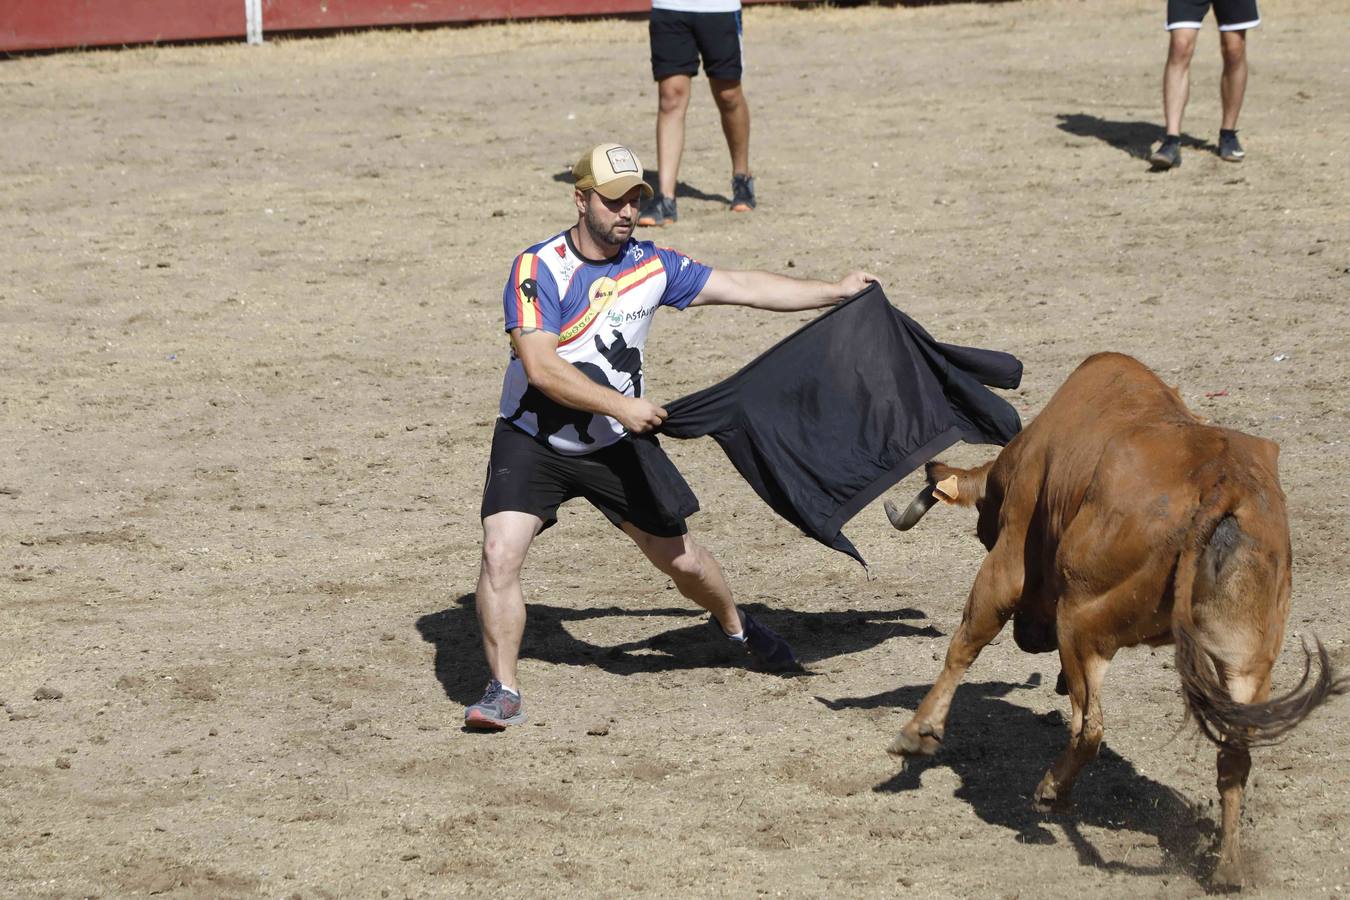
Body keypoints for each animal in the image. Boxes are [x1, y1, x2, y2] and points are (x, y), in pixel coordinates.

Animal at [885, 350, 1339, 885]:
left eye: (984, 528)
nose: (1032, 637)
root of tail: (1222, 484)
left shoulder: (1009, 558)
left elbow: (965, 642)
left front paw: (918, 732)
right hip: (1245, 662)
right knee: (1234, 756)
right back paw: (1227, 868)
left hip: (1080, 623)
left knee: (1090, 729)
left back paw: (1051, 791)